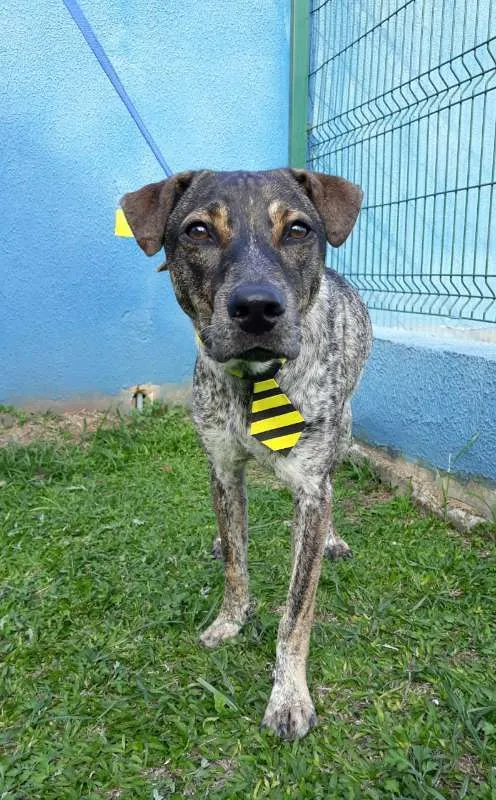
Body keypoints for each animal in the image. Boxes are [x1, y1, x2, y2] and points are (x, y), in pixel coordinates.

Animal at [120, 168, 372, 740]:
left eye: (299, 229)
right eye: (197, 231)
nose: (257, 307)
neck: (257, 381)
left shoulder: (310, 487)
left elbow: (296, 611)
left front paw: (289, 696)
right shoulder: (222, 469)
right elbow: (237, 563)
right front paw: (229, 621)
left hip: (343, 431)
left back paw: (334, 539)